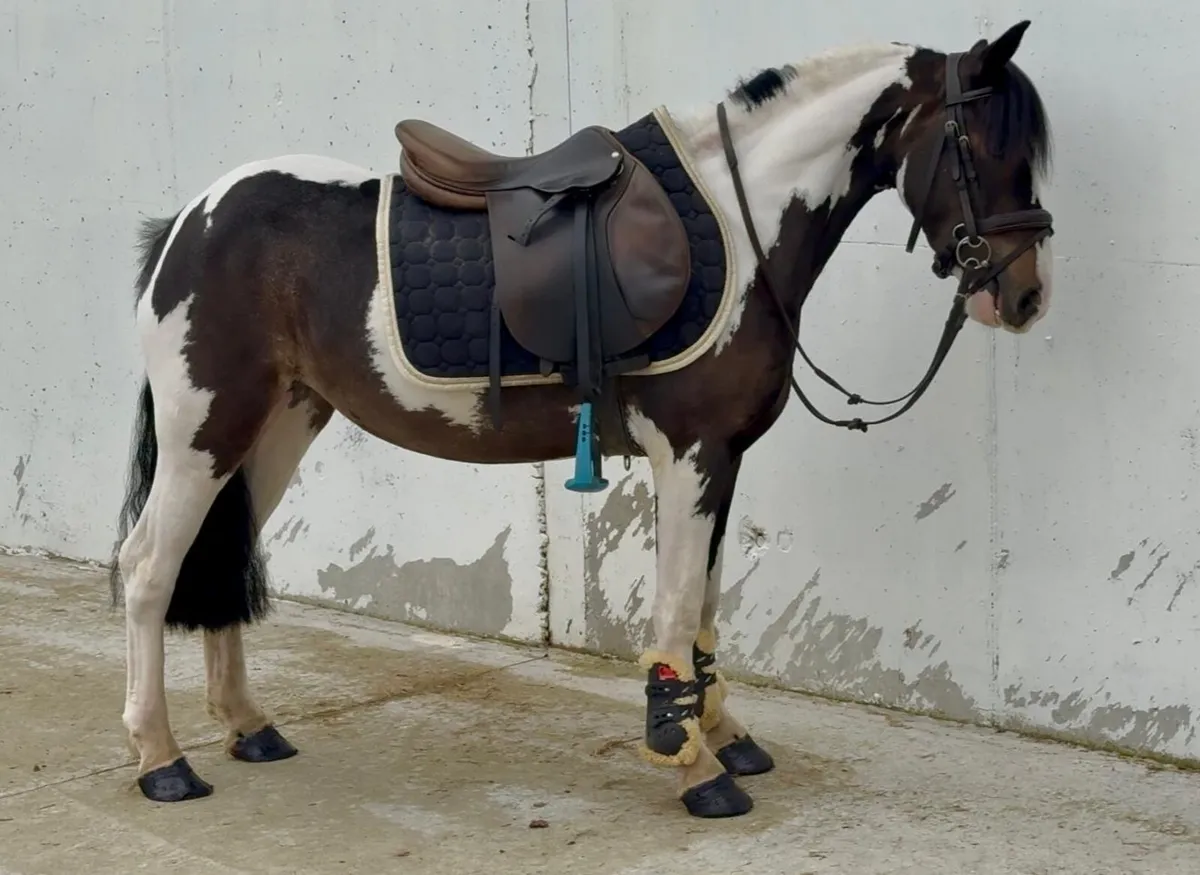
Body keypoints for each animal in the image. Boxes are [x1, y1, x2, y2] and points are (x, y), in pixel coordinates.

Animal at [107, 21, 1054, 819]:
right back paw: (162, 760)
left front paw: (722, 733)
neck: (737, 224)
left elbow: (704, 604)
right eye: (983, 147)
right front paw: (693, 767)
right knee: (150, 565)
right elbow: (676, 603)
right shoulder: (690, 455)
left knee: (221, 551)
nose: (1023, 297)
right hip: (205, 431)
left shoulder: (724, 459)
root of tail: (186, 223)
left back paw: (248, 727)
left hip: (274, 427)